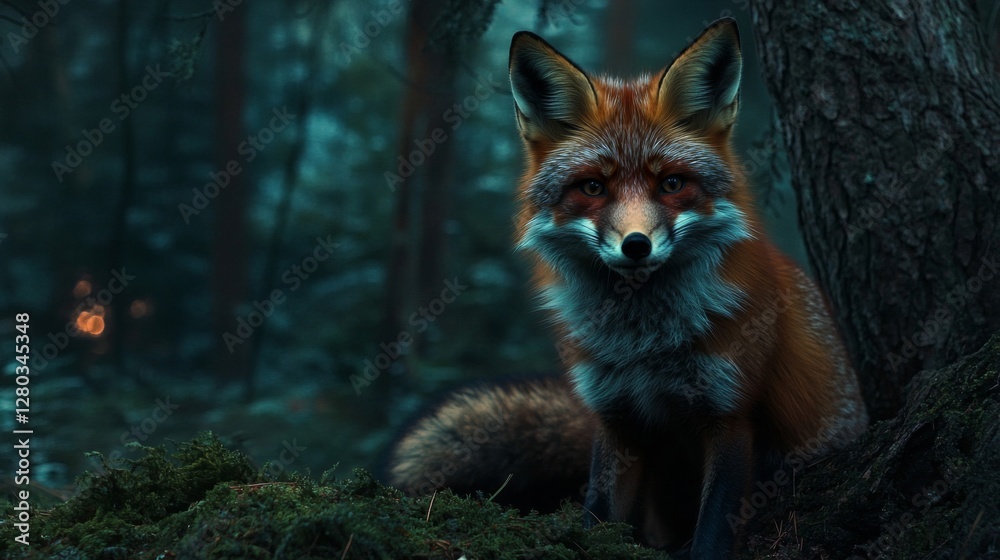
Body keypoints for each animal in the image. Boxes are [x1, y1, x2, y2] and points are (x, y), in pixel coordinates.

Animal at [386, 18, 868, 559]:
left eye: (672, 184)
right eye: (593, 187)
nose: (636, 245)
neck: (643, 346)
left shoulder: (731, 412)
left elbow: (715, 527)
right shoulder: (616, 418)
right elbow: (598, 514)